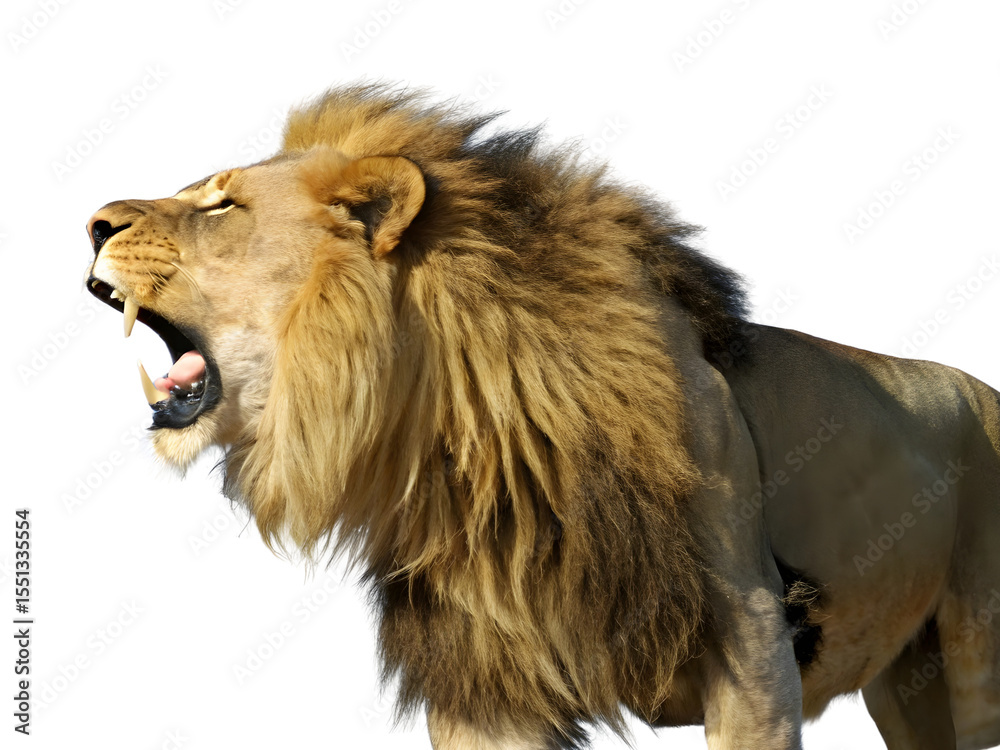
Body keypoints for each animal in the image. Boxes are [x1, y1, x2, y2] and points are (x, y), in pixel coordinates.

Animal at [82, 84, 1000, 749]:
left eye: (221, 206)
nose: (91, 223)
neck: (456, 425)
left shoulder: (755, 645)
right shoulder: (483, 679)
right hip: (907, 686)